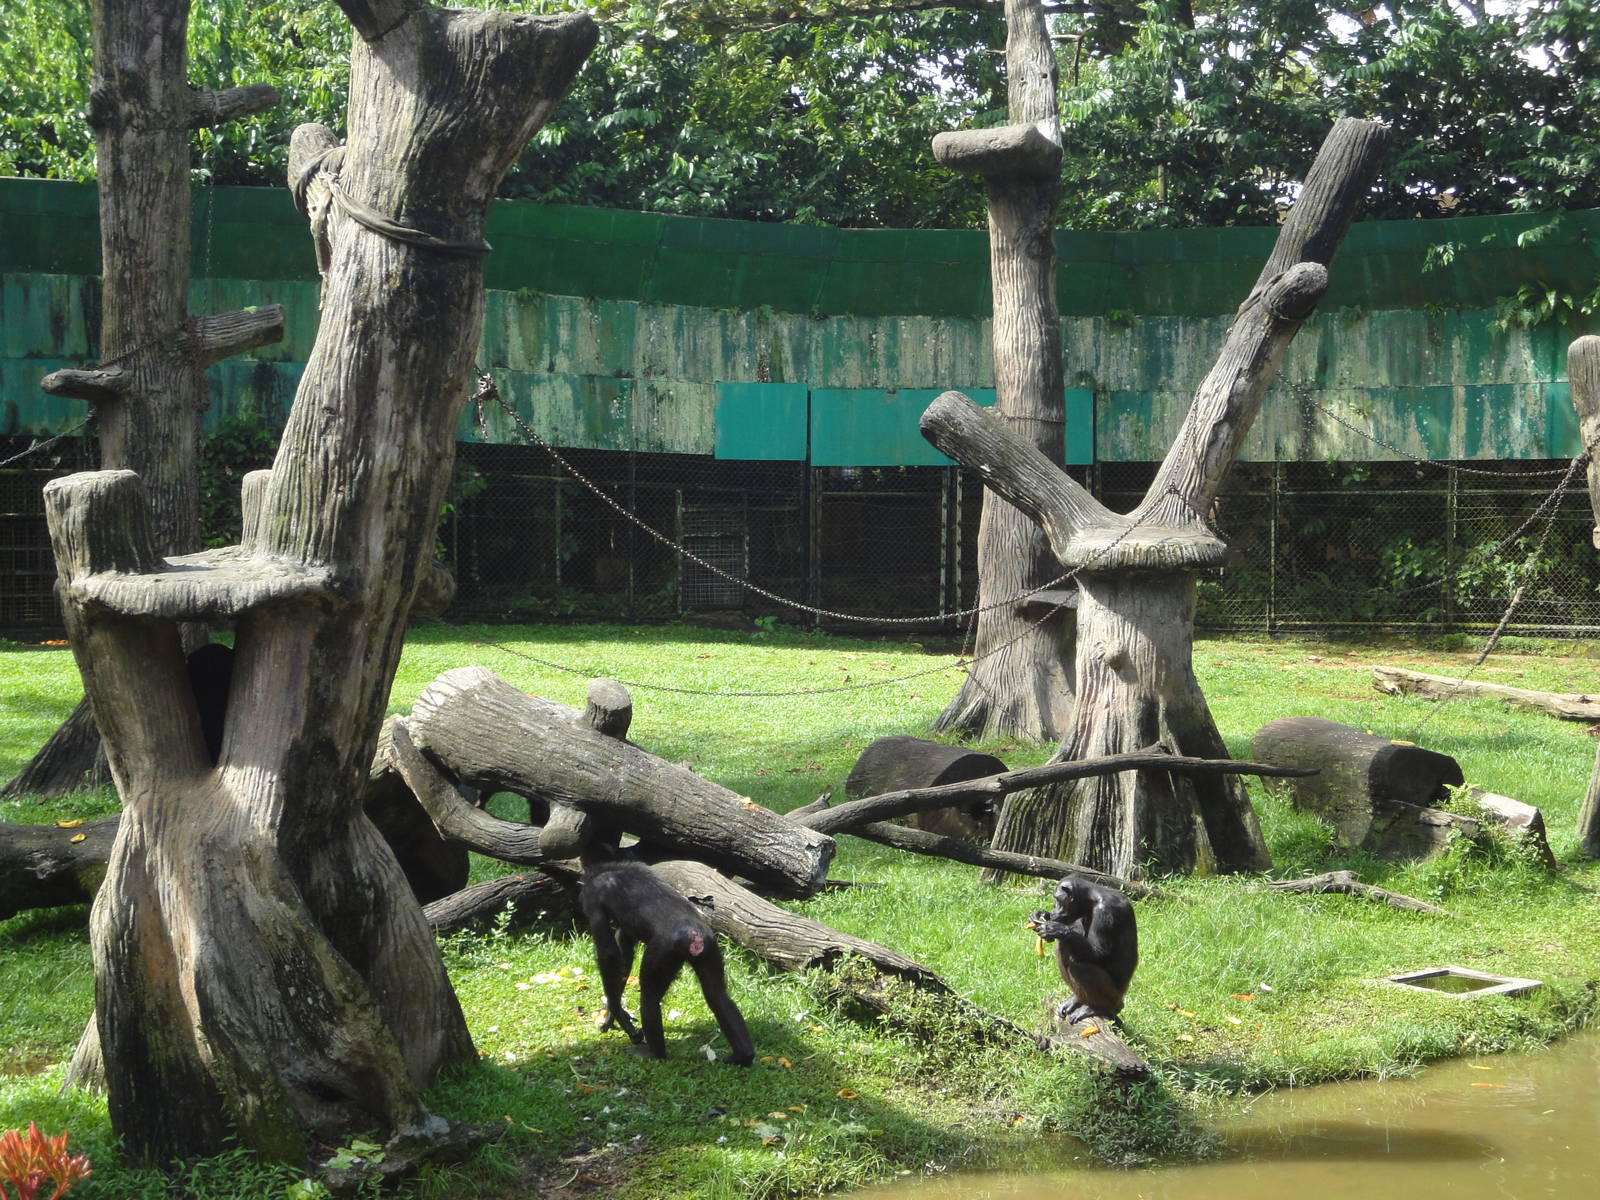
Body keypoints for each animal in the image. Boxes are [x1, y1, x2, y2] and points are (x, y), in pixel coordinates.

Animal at [579, 853, 754, 1066]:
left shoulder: (592, 896)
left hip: (663, 953)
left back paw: (653, 1053)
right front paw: (612, 1016)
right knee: (717, 995)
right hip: (710, 948)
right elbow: (623, 950)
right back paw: (743, 1056)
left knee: (649, 995)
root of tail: (694, 936)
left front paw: (616, 1013)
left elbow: (609, 953)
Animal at [1028, 873, 1137, 1024]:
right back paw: (1077, 1000)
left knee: (1080, 968)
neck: (1091, 900)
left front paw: (1054, 929)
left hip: (1113, 996)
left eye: (1057, 899)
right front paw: (1042, 915)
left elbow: (1099, 952)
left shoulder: (1106, 911)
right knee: (1063, 946)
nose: (1054, 907)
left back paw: (1097, 1009)